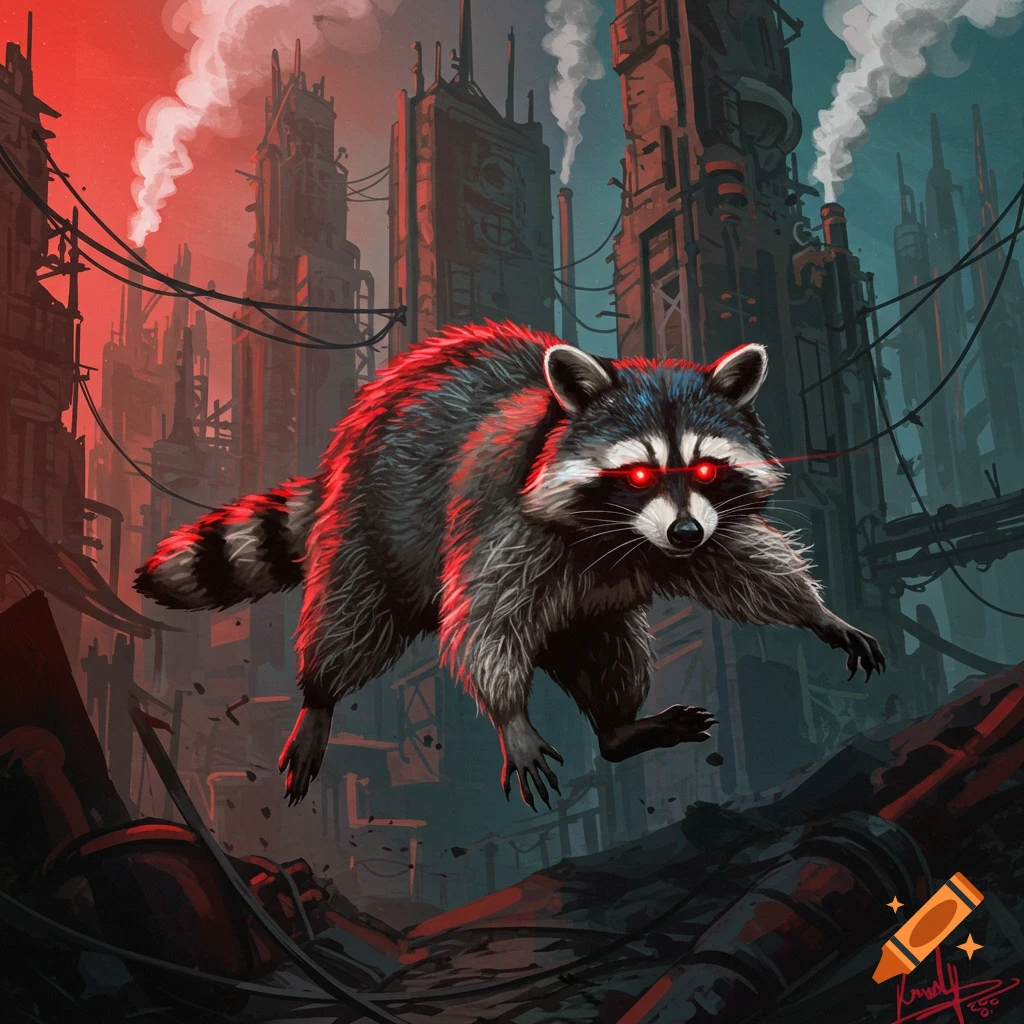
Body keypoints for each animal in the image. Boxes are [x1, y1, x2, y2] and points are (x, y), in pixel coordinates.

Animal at [135, 321, 884, 809]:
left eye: (704, 466)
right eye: (638, 471)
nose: (683, 532)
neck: (621, 535)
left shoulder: (709, 530)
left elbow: (750, 568)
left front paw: (819, 612)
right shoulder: (502, 521)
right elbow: (482, 624)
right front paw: (509, 718)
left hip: (587, 616)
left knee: (613, 652)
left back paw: (618, 726)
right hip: (369, 525)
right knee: (352, 619)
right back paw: (319, 695)